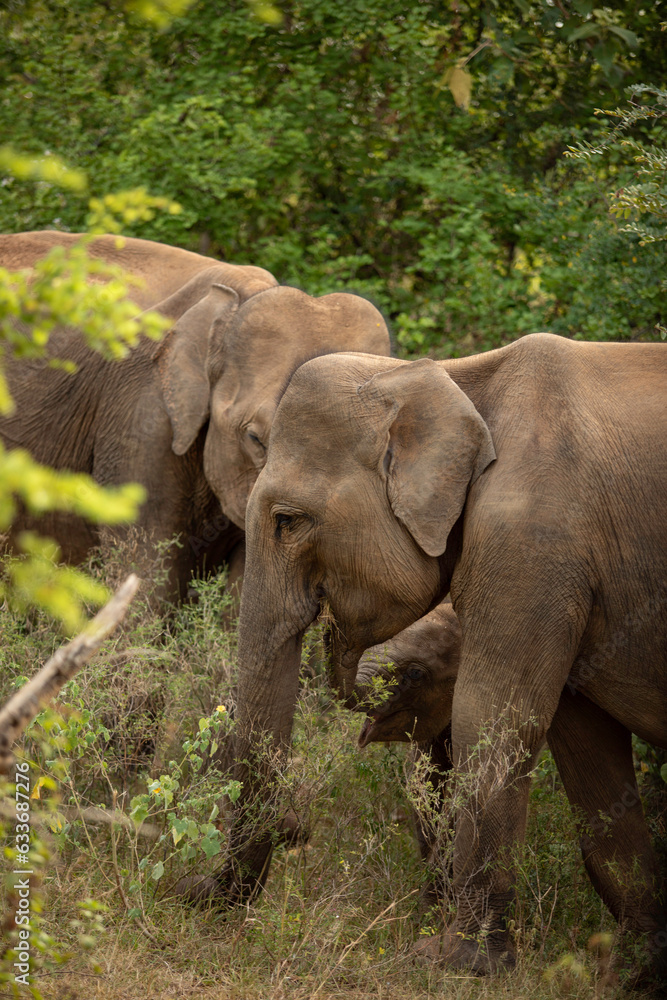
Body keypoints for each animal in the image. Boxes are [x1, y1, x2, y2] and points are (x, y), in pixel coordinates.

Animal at [192, 333, 667, 977]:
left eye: (288, 522)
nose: (188, 893)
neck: (446, 378)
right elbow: (585, 750)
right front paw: (635, 968)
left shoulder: (532, 548)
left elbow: (491, 718)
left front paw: (458, 961)